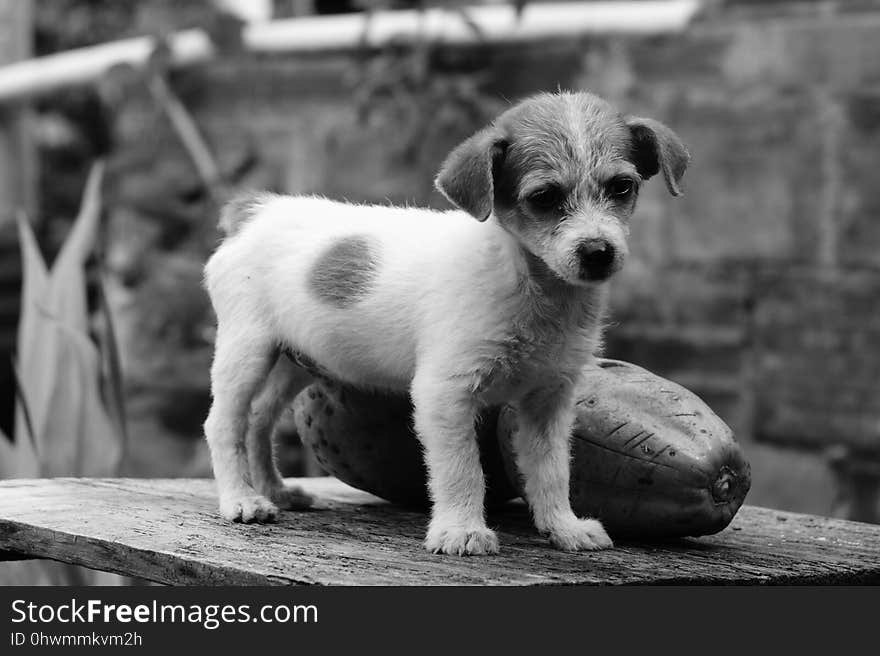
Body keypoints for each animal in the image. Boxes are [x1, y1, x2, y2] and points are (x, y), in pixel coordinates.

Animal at [203, 89, 692, 556]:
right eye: (545, 198)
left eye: (622, 187)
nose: (598, 252)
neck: (531, 286)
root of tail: (256, 210)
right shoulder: (445, 393)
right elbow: (463, 469)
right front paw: (461, 530)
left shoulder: (549, 401)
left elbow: (552, 471)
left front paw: (563, 527)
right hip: (247, 351)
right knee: (224, 424)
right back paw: (242, 500)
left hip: (293, 361)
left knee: (258, 422)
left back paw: (276, 492)